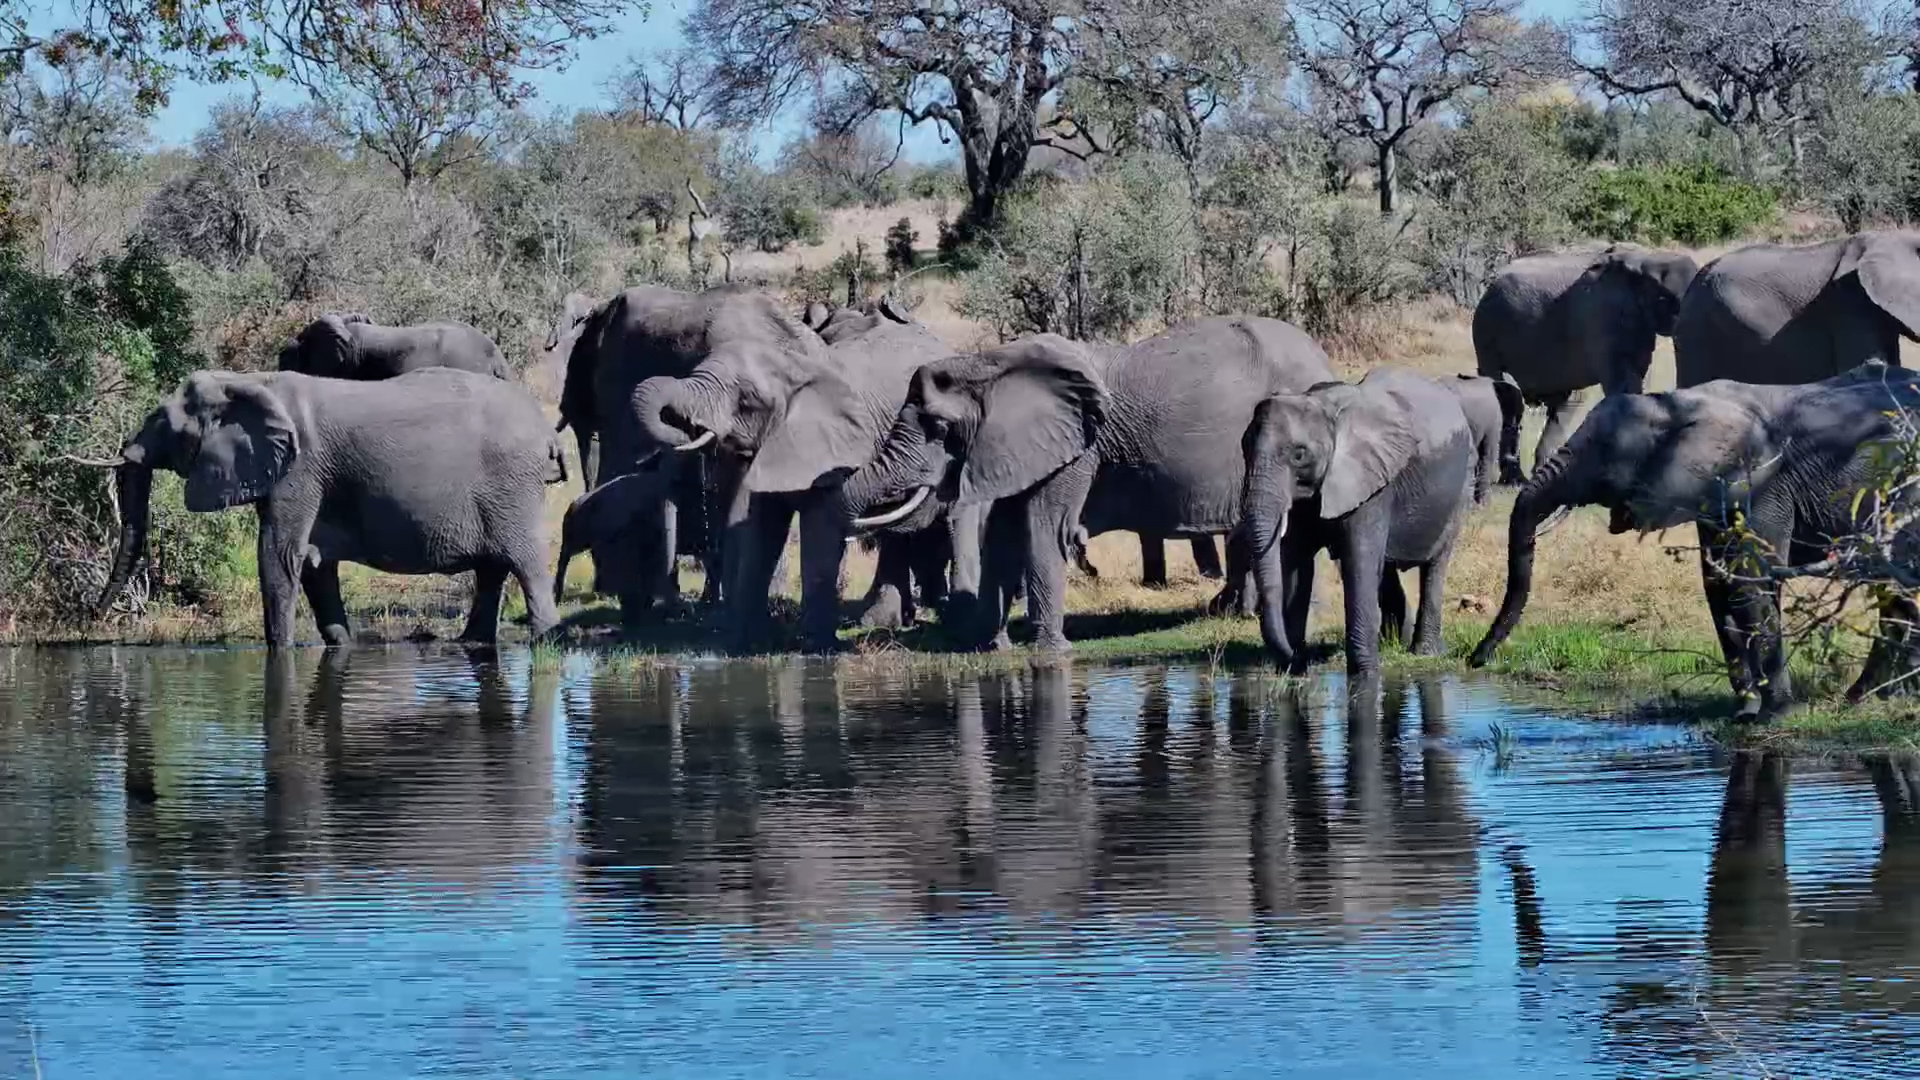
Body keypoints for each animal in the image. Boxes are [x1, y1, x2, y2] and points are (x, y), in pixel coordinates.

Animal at [94, 368, 566, 648]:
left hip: (513, 486)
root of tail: (546, 431)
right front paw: (340, 644)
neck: (252, 381)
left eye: (163, 423)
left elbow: (280, 555)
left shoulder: (298, 471)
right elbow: (314, 563)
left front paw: (281, 650)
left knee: (526, 562)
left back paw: (545, 640)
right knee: (493, 567)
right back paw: (471, 644)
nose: (94, 615)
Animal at [838, 316, 1337, 652]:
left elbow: (1042, 528)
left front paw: (1050, 652)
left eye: (940, 427)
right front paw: (991, 646)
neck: (990, 364)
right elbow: (1004, 531)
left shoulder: (1079, 447)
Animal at [1241, 368, 1478, 679]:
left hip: (1461, 487)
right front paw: (1295, 668)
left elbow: (1358, 560)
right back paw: (1393, 643)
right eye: (1243, 449)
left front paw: (1364, 675)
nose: (1301, 658)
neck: (1322, 406)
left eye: (1299, 454)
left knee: (1435, 565)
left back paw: (1425, 653)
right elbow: (1296, 562)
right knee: (1386, 567)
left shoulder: (1369, 483)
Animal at [1469, 361, 1920, 716]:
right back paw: (1877, 697)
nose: (1475, 661)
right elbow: (1717, 583)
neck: (1679, 404)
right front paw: (1745, 712)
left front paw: (1775, 713)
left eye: (1605, 456)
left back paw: (1869, 698)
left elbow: (1750, 581)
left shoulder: (1762, 483)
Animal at [1474, 244, 1700, 472]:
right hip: (1486, 333)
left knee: (1566, 403)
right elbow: (1624, 384)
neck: (1648, 258)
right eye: (1667, 300)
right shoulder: (1603, 316)